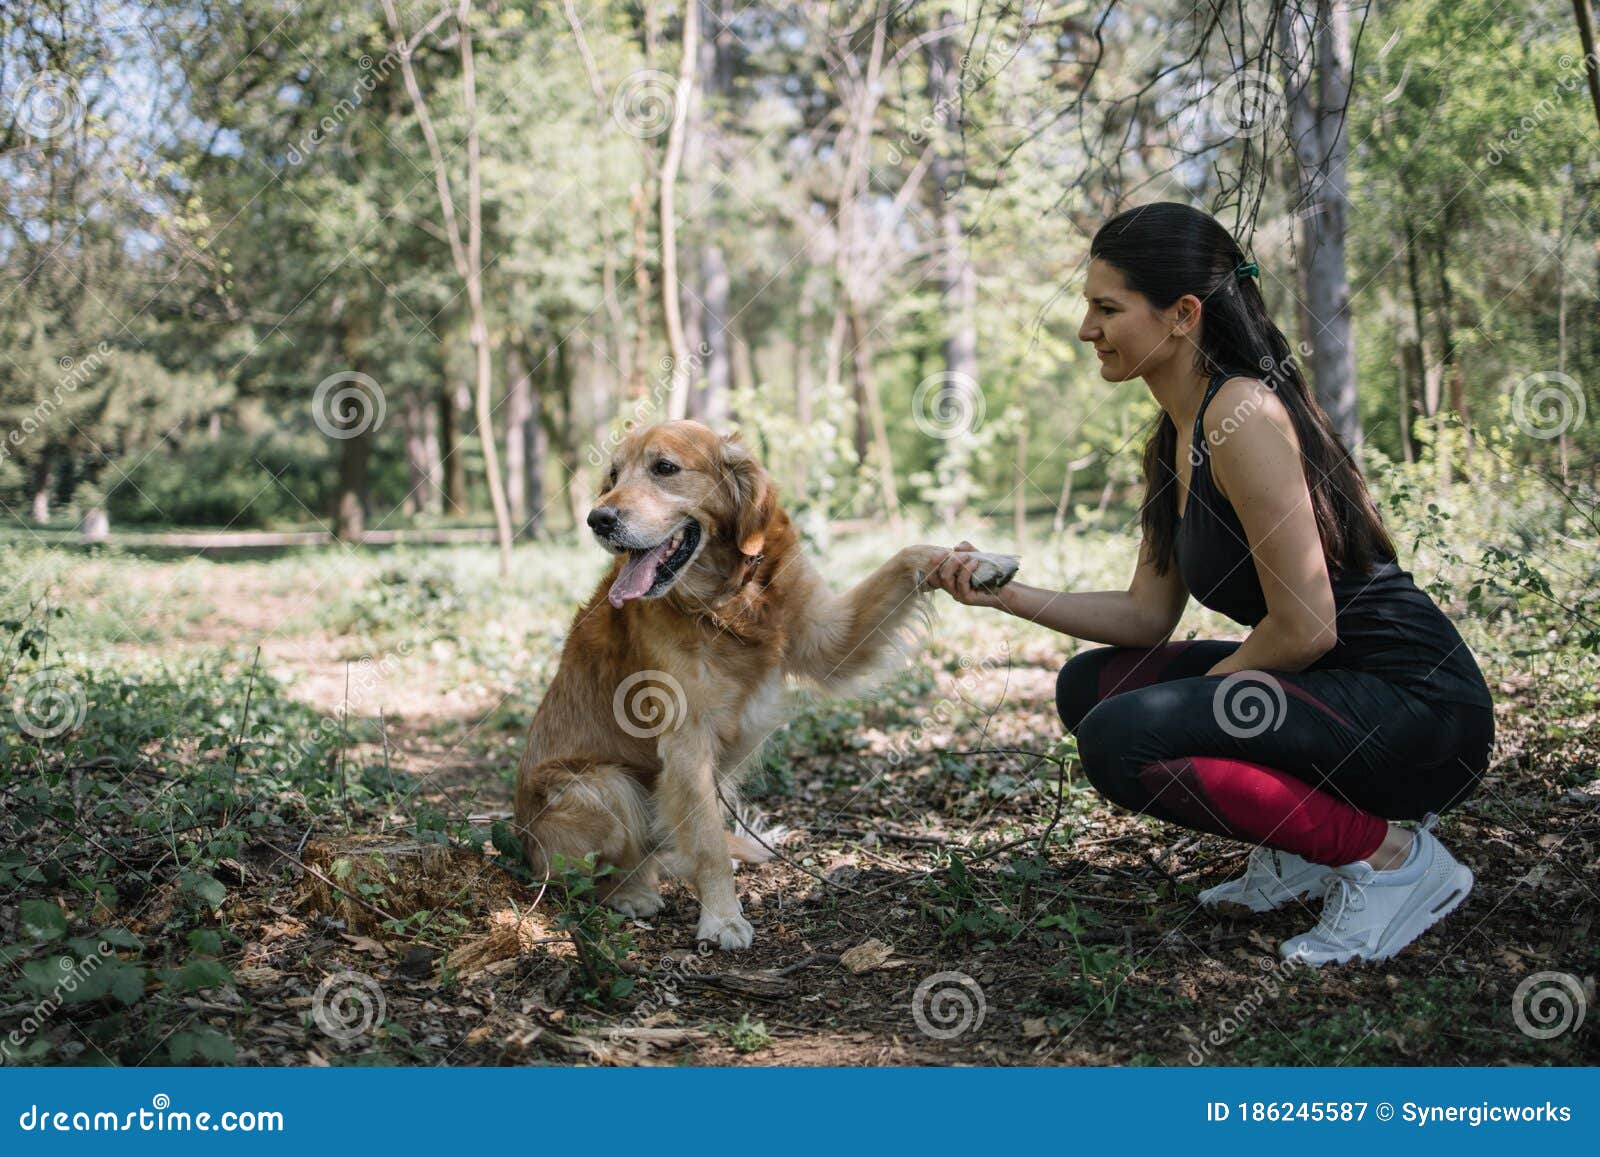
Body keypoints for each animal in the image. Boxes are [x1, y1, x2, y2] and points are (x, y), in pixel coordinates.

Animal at [512, 422, 1017, 947]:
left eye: (664, 468)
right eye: (612, 476)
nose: (598, 519)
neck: (731, 597)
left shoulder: (829, 637)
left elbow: (907, 555)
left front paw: (978, 562)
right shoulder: (687, 743)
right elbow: (708, 845)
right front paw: (721, 917)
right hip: (601, 785)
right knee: (591, 872)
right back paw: (630, 893)